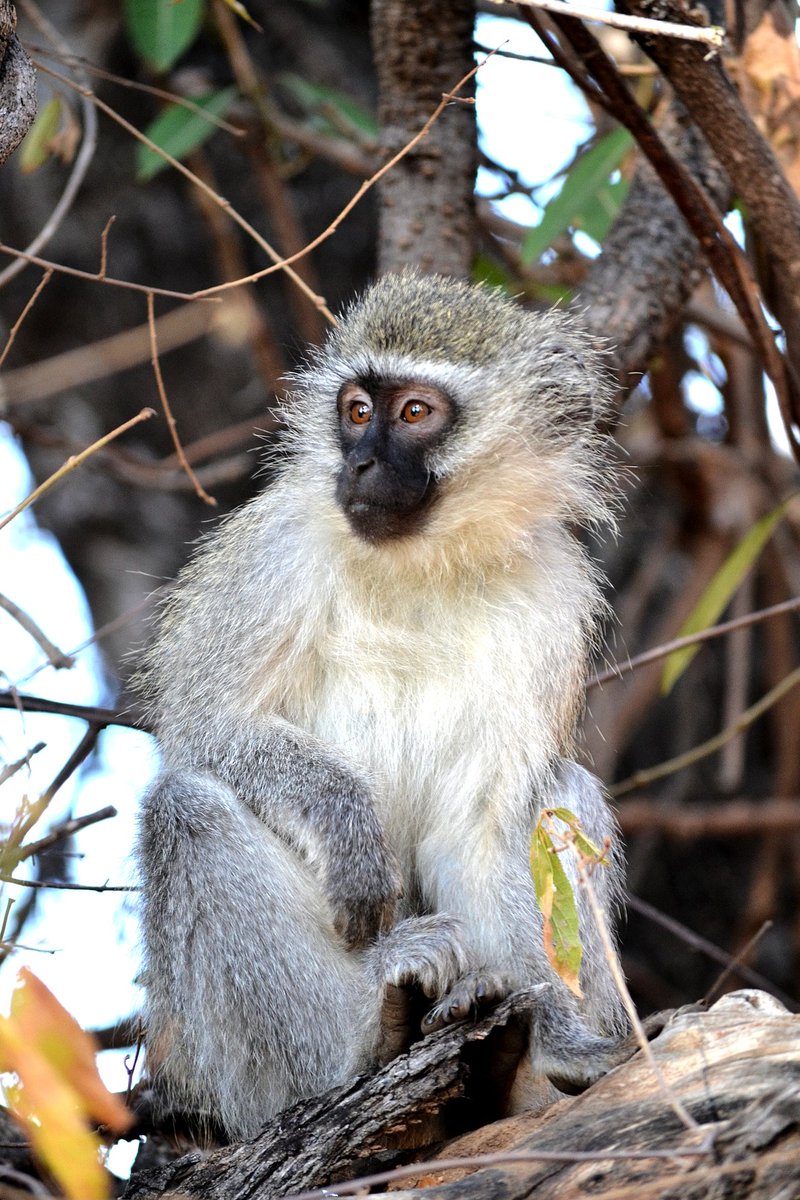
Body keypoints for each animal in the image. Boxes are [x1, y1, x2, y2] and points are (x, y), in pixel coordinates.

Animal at [135, 270, 630, 1143]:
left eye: (415, 414)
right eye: (358, 411)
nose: (361, 463)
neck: (421, 562)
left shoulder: (553, 599)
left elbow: (482, 826)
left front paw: (559, 1034)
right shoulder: (274, 554)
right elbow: (206, 727)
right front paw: (348, 827)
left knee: (561, 793)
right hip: (242, 1075)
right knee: (183, 810)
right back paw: (367, 1041)